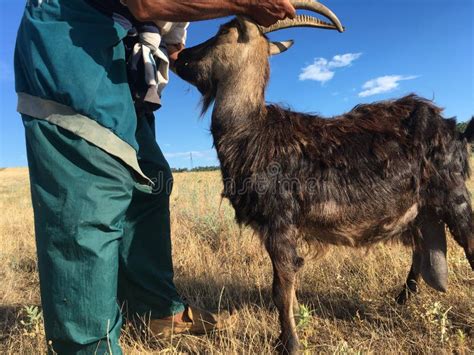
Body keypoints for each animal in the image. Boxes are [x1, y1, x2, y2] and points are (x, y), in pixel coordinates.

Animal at [175, 2, 474, 354]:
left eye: (223, 30)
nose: (180, 56)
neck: (250, 129)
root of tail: (453, 130)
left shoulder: (280, 221)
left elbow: (281, 286)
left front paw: (289, 343)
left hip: (453, 194)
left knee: (469, 244)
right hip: (421, 209)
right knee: (419, 250)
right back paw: (400, 301)